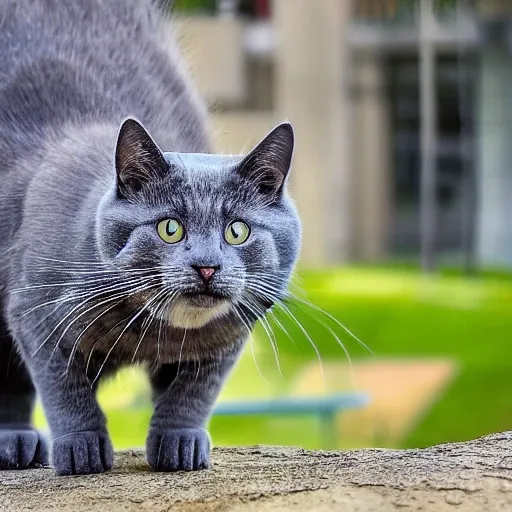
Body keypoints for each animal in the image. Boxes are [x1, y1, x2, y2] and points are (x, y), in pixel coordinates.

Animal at [0, 0, 300, 474]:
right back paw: (16, 442)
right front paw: (82, 449)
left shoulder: (230, 334)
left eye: (237, 231)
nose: (206, 266)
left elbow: (193, 390)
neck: (149, 329)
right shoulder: (35, 313)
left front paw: (180, 443)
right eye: (169, 227)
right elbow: (64, 386)